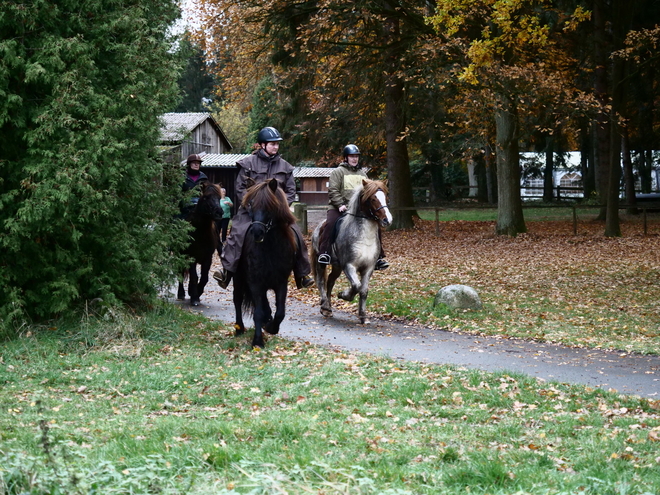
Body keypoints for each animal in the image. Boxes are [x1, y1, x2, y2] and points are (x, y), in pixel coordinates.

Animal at [231, 179, 296, 348]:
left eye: (270, 206)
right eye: (251, 205)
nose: (257, 232)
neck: (271, 249)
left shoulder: (281, 282)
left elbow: (280, 312)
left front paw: (272, 327)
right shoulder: (255, 282)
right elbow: (258, 312)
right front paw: (257, 341)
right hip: (238, 278)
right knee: (237, 299)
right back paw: (239, 328)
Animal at [310, 178, 392, 326]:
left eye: (386, 197)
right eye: (373, 199)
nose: (387, 220)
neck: (363, 237)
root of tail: (319, 226)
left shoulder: (368, 268)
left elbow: (363, 291)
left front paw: (363, 316)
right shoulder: (349, 266)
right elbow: (356, 285)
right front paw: (343, 295)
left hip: (336, 266)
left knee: (330, 281)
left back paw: (329, 309)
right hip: (321, 263)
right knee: (320, 282)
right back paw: (325, 306)